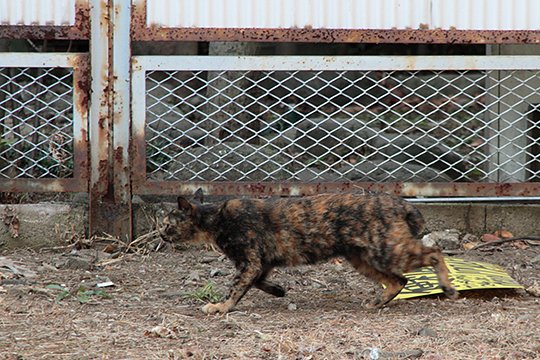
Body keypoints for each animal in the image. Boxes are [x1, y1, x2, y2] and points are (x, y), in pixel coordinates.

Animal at [159, 190, 456, 314]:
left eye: (167, 223)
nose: (160, 234)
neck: (215, 219)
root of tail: (401, 203)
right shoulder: (262, 263)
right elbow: (259, 282)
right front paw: (279, 290)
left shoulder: (250, 262)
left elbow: (235, 288)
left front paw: (220, 307)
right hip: (363, 259)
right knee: (399, 281)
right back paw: (375, 303)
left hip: (388, 251)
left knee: (435, 252)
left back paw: (448, 287)